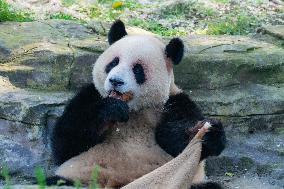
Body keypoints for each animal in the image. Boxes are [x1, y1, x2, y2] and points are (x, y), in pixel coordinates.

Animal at [48, 19, 226, 188]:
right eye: (113, 63)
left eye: (137, 69)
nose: (115, 81)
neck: (135, 110)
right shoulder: (91, 94)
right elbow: (67, 142)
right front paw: (112, 109)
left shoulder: (173, 102)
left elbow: (178, 142)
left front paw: (209, 133)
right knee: (56, 181)